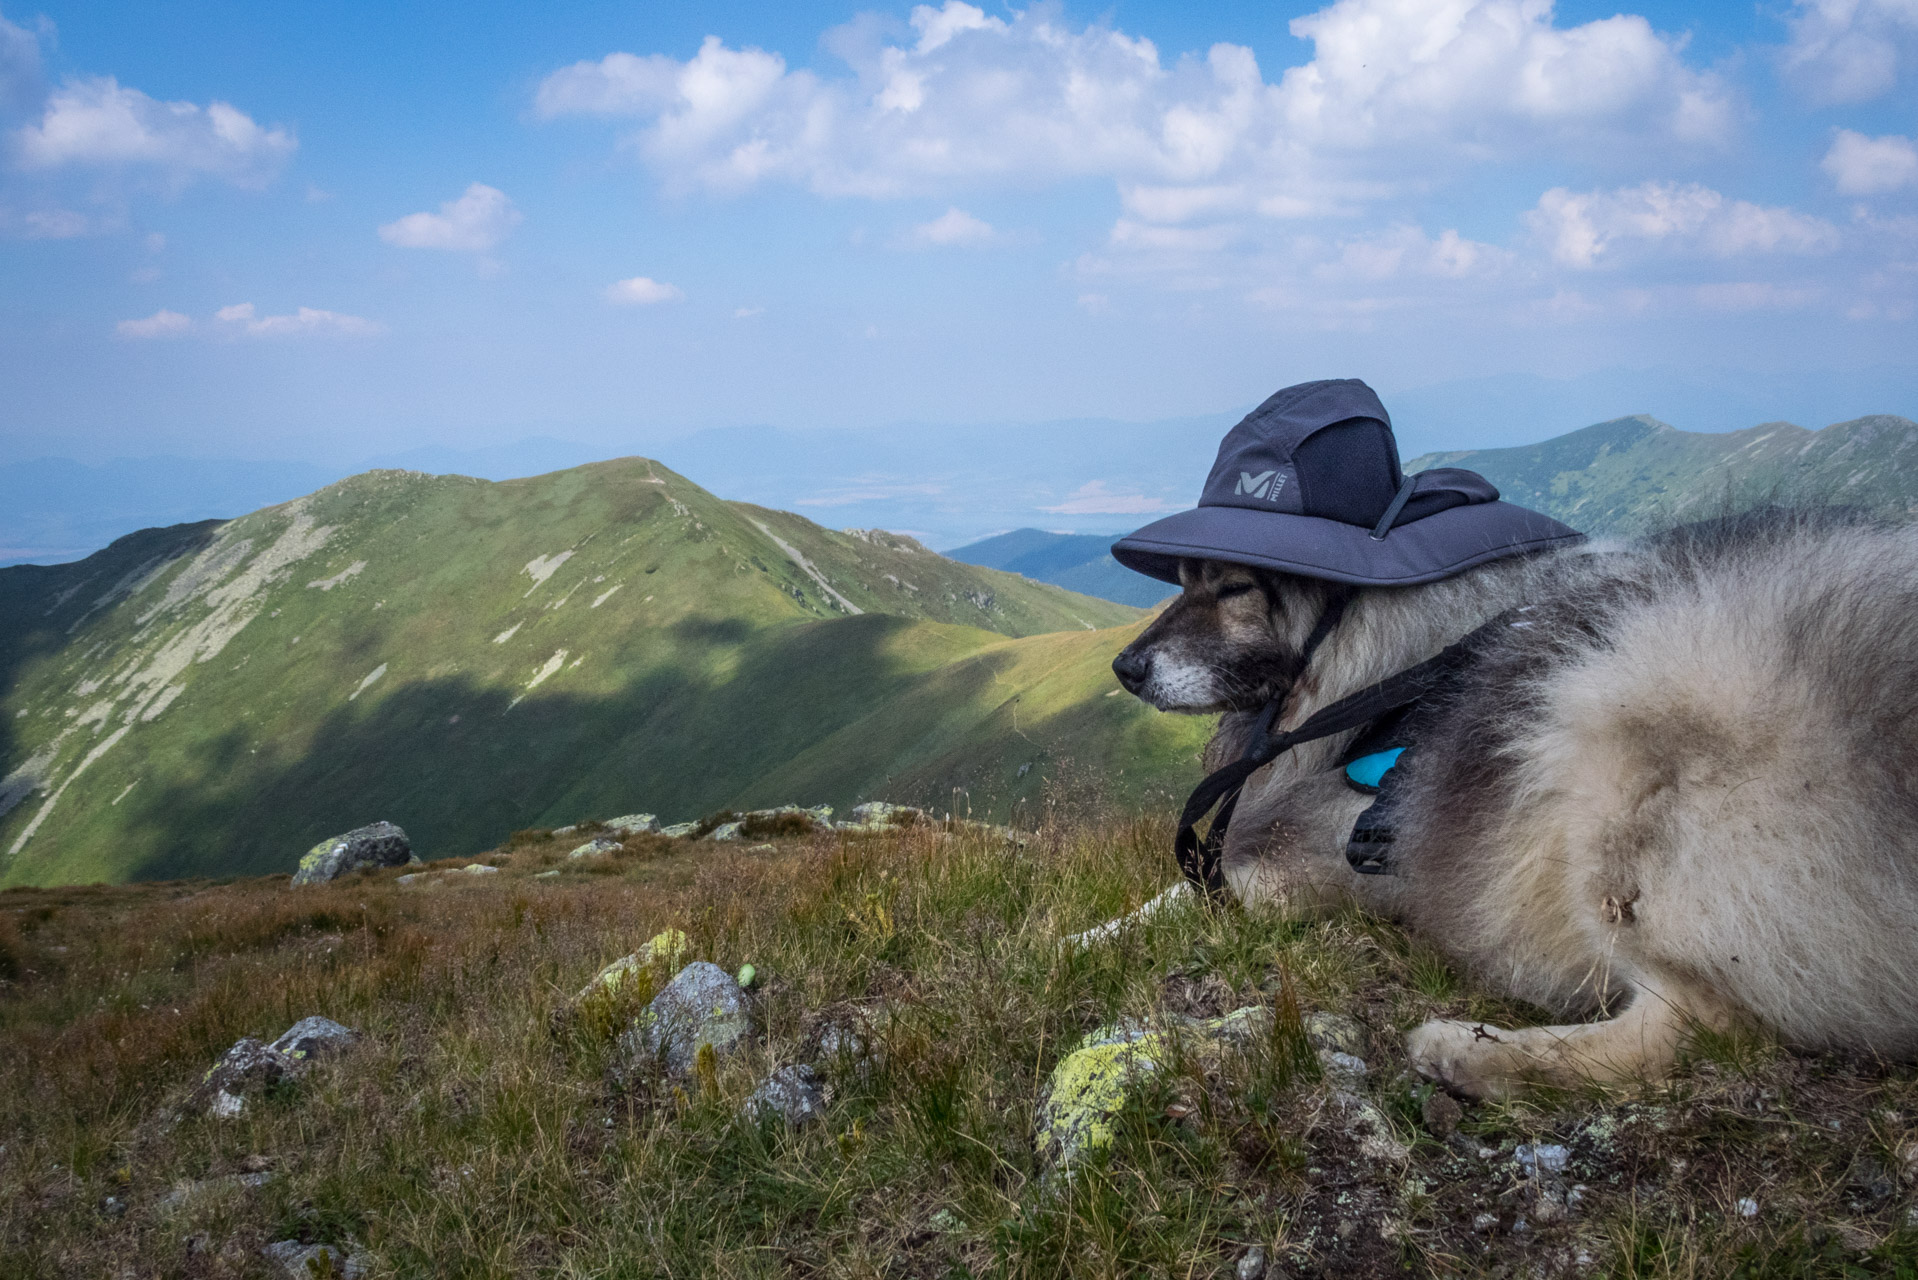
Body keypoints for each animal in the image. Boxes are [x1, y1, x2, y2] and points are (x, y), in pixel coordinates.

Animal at [1120, 514, 1918, 1105]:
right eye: (1184, 581)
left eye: (1235, 586)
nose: (1125, 668)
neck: (1397, 663)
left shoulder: (1326, 852)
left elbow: (1205, 888)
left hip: (1608, 725)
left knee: (1694, 1029)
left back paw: (1470, 1055)